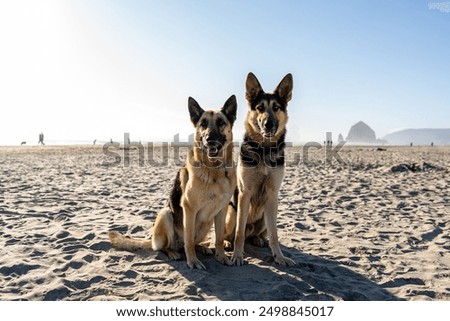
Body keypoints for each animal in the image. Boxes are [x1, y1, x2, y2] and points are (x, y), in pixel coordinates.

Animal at [109, 95, 237, 270]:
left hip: (207, 223)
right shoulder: (190, 209)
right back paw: (173, 253)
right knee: (167, 246)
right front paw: (193, 261)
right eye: (203, 123)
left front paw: (221, 256)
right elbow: (188, 241)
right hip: (166, 214)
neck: (215, 170)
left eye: (220, 122)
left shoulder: (221, 210)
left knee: (193, 242)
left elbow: (218, 239)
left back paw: (202, 248)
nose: (209, 139)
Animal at [229, 72, 296, 264]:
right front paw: (237, 255)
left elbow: (275, 235)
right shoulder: (244, 193)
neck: (264, 149)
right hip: (231, 211)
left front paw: (279, 257)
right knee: (235, 233)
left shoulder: (273, 195)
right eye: (260, 107)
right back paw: (228, 243)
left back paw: (259, 240)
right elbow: (239, 233)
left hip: (266, 216)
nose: (269, 124)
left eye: (276, 107)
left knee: (259, 234)